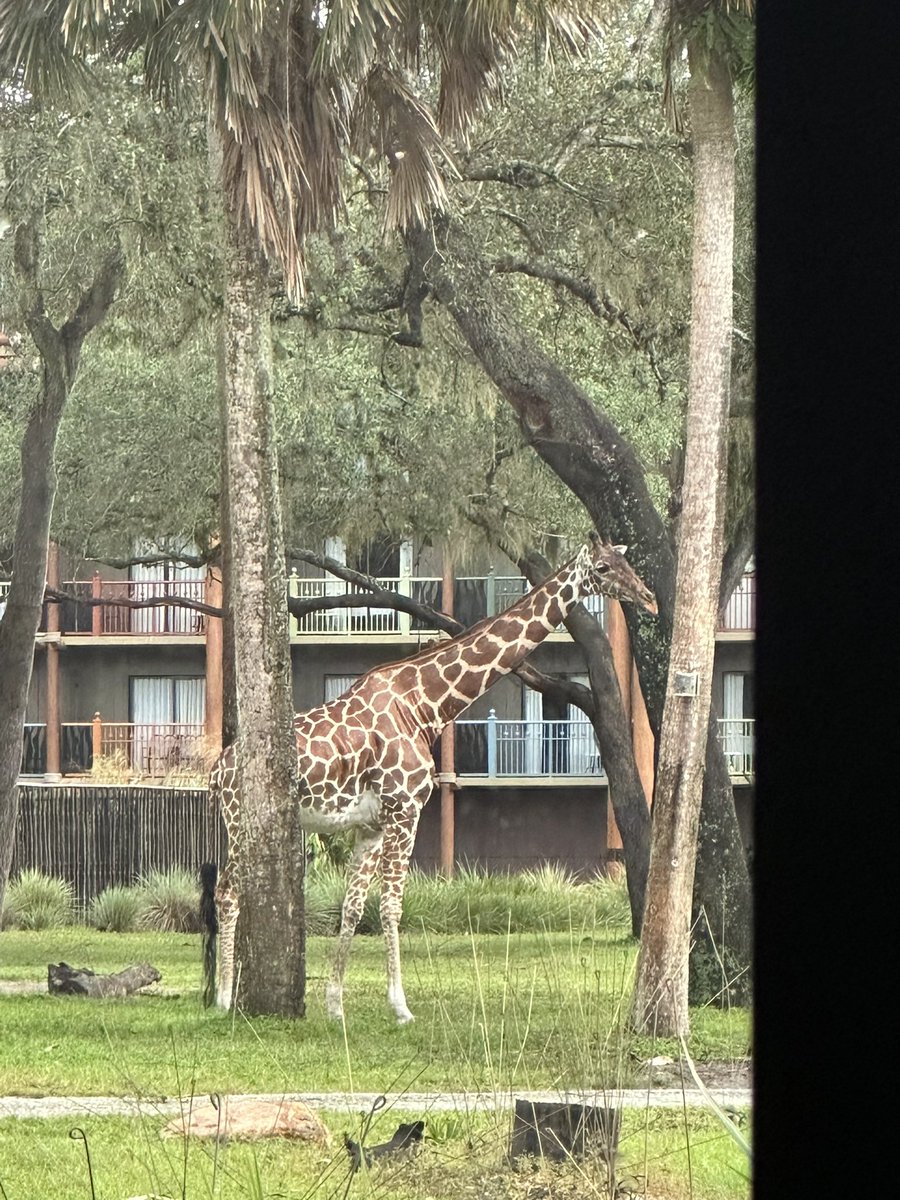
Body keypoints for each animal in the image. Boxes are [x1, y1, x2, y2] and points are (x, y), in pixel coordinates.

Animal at [203, 532, 657, 1023]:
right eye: (605, 569)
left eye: (627, 564)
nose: (649, 598)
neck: (425, 707)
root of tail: (216, 771)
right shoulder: (406, 808)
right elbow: (391, 905)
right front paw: (401, 1006)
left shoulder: (372, 824)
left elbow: (353, 907)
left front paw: (335, 1005)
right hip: (243, 821)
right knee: (227, 891)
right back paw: (224, 998)